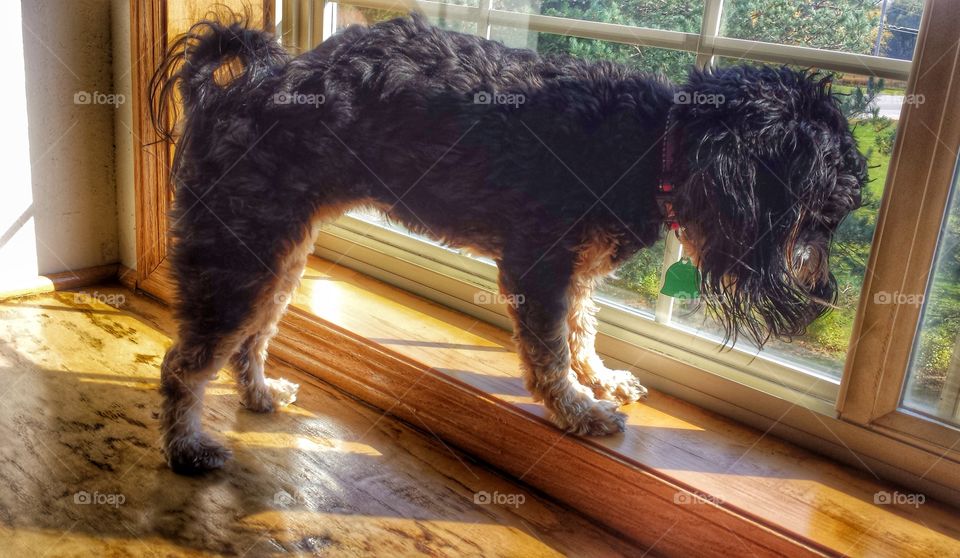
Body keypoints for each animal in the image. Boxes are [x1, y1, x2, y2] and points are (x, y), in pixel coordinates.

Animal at [150, 14, 864, 476]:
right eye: (821, 216)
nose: (829, 295)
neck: (655, 142)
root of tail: (233, 90)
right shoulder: (539, 267)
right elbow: (548, 354)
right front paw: (576, 410)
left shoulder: (575, 272)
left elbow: (582, 332)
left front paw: (599, 379)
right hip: (238, 259)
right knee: (184, 364)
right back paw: (186, 448)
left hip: (276, 257)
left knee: (251, 340)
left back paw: (260, 395)